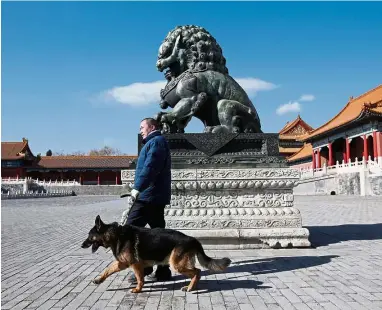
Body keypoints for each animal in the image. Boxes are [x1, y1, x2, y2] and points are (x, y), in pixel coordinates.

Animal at [81, 216, 231, 294]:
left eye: (89, 236)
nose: (81, 245)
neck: (116, 235)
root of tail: (193, 239)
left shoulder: (135, 265)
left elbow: (140, 279)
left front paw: (138, 289)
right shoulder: (122, 263)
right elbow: (107, 270)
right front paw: (98, 280)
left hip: (176, 264)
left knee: (197, 271)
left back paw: (190, 287)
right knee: (197, 272)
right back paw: (191, 286)